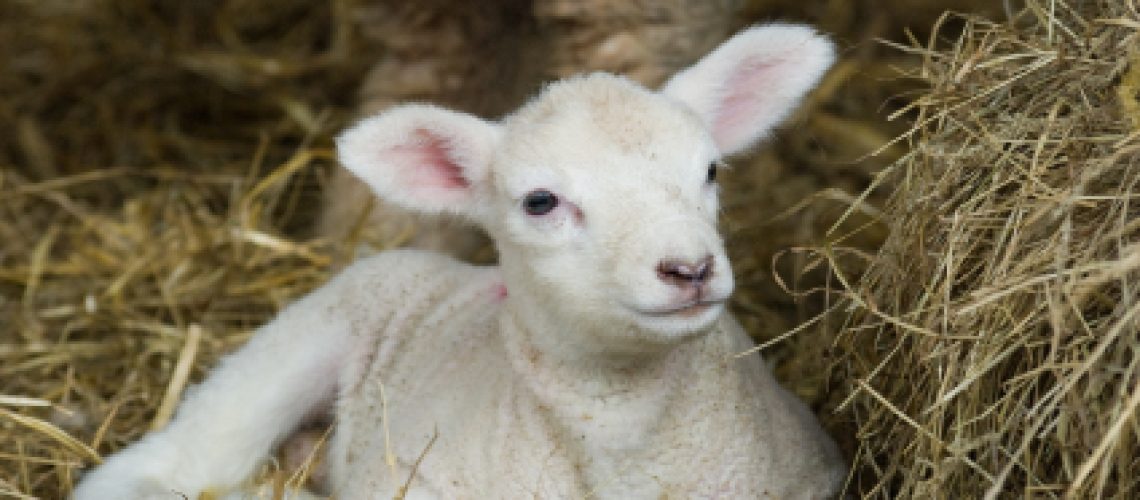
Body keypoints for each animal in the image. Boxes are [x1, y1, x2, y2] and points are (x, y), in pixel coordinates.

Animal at [73, 24, 848, 500]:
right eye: (540, 201)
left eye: (710, 170)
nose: (688, 269)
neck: (627, 445)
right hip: (294, 346)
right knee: (177, 459)